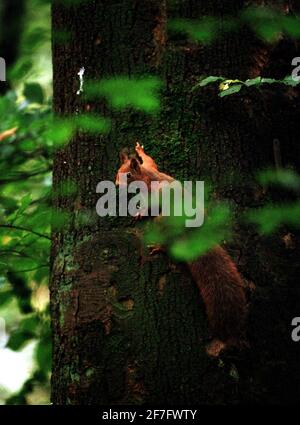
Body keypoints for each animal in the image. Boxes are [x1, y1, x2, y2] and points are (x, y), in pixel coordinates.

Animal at [116, 142, 247, 354]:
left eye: (128, 175)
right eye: (117, 172)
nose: (117, 186)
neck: (145, 176)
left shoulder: (153, 188)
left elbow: (154, 200)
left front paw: (141, 211)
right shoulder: (151, 168)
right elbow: (151, 160)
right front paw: (140, 150)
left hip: (165, 221)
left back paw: (160, 246)